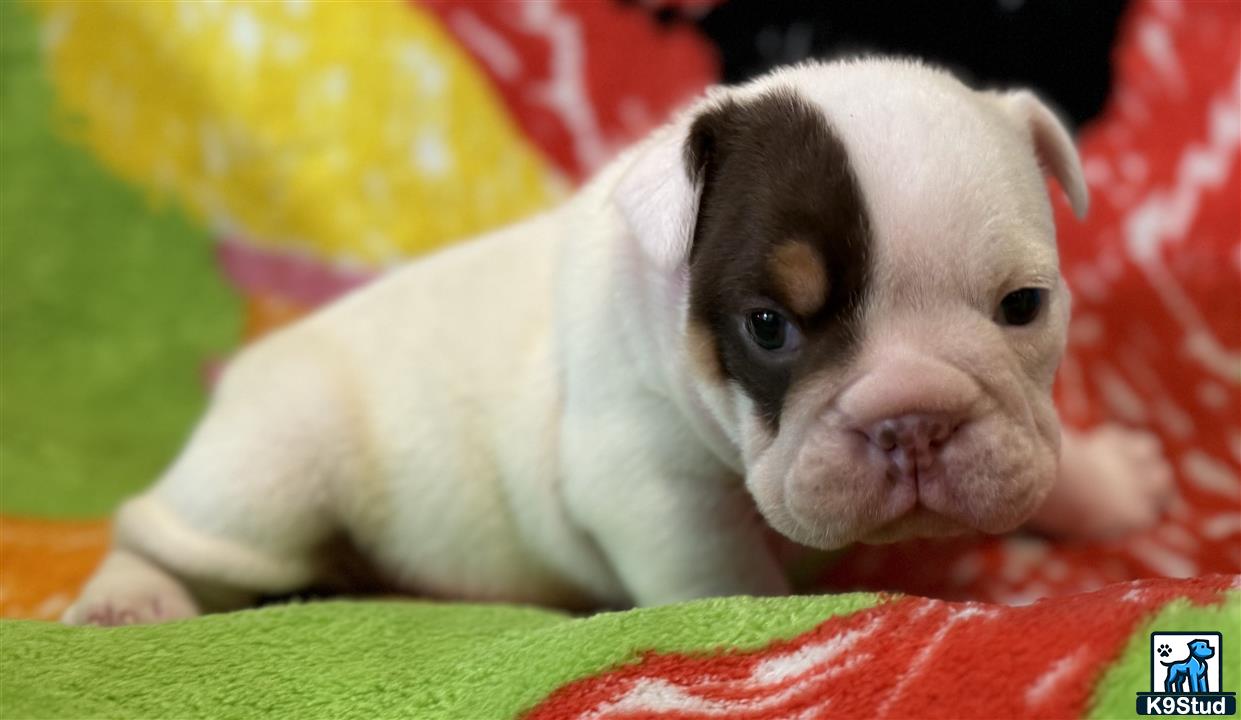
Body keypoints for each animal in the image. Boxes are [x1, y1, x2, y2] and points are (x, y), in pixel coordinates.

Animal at [65, 57, 1171, 623]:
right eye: (766, 328)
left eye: (1021, 306)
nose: (914, 419)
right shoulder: (651, 487)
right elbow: (724, 576)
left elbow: (1041, 447)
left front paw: (1105, 483)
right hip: (271, 476)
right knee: (160, 528)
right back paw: (131, 600)